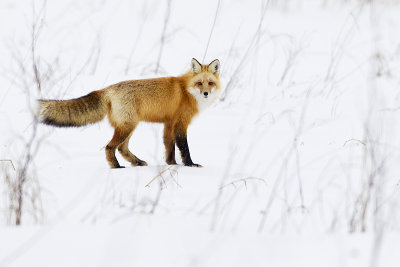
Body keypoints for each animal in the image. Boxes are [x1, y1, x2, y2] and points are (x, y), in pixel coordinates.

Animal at [39, 59, 222, 170]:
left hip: (130, 126)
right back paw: (116, 167)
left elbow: (169, 147)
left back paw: (137, 162)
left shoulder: (168, 123)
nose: (206, 93)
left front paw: (171, 165)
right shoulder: (180, 123)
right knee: (110, 147)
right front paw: (190, 165)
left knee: (122, 148)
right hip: (128, 126)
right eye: (199, 83)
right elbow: (184, 148)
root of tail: (108, 89)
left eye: (210, 83)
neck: (186, 91)